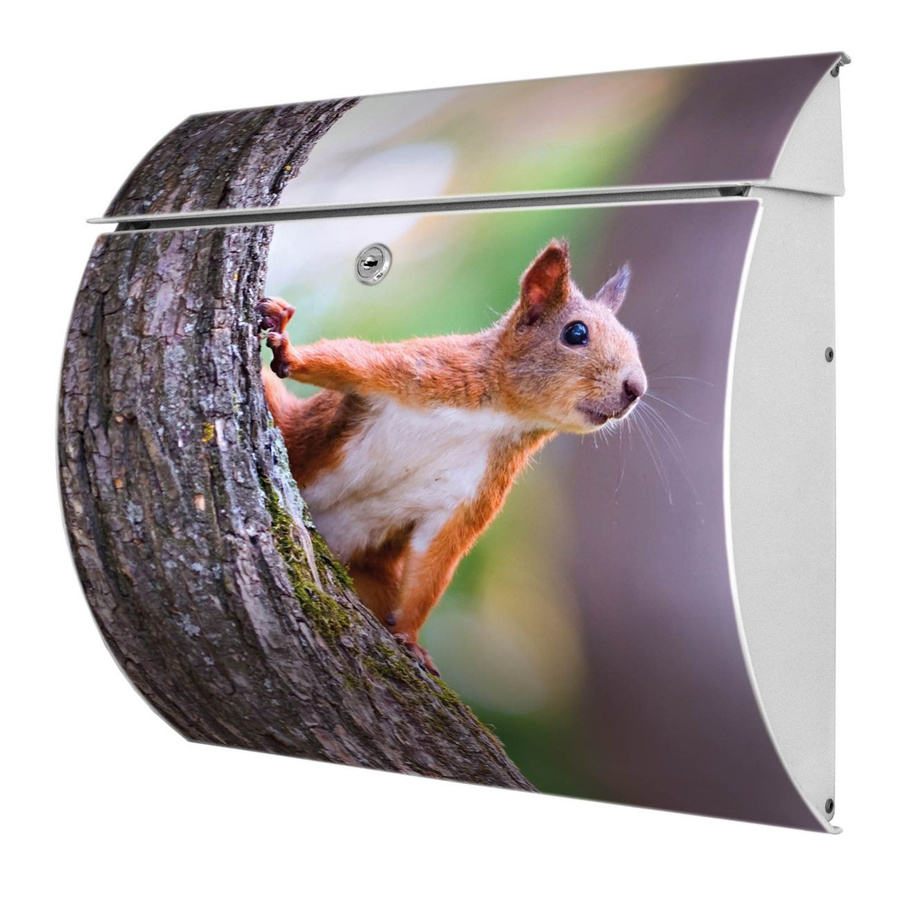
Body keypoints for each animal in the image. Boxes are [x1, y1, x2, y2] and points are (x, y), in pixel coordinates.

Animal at [257, 239, 646, 675]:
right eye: (576, 333)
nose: (636, 388)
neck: (499, 415)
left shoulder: (475, 490)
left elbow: (436, 558)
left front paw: (410, 637)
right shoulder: (421, 370)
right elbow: (346, 360)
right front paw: (288, 349)